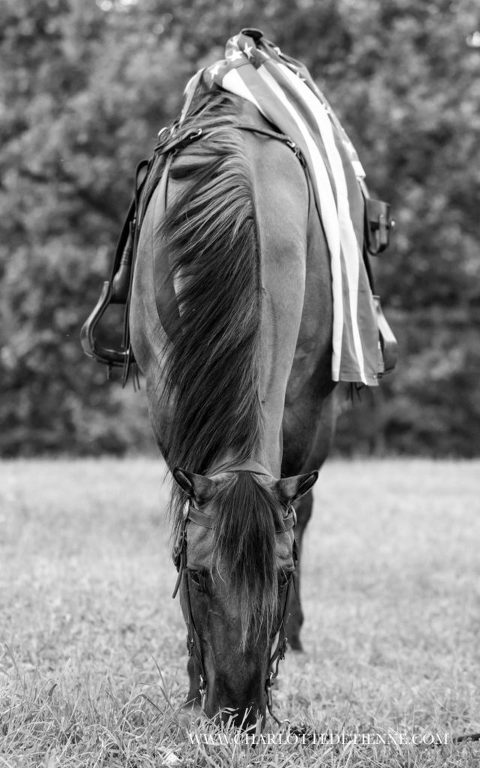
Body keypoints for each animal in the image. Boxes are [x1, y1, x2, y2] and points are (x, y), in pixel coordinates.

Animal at [129, 84, 341, 729]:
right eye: (197, 576)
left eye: (282, 574)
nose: (238, 711)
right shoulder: (166, 396)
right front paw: (190, 678)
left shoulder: (308, 402)